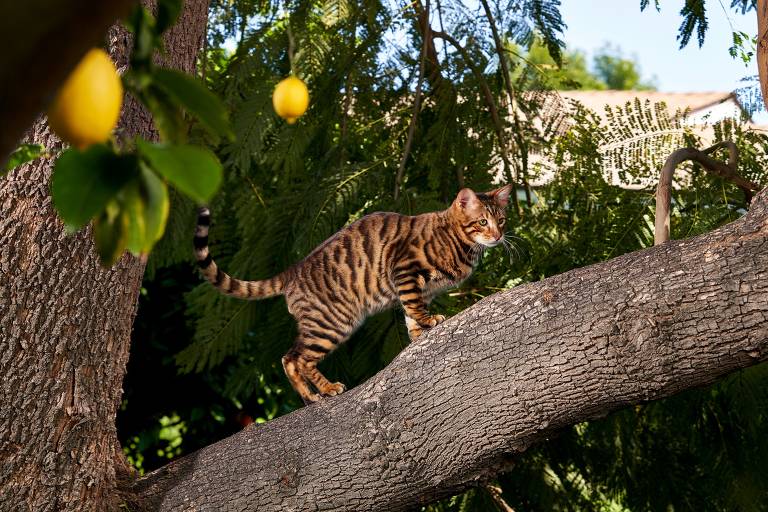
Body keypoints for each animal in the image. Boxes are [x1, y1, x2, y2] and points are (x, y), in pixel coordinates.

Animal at [195, 185, 512, 404]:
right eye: (482, 222)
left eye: (502, 220)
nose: (498, 236)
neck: (459, 240)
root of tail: (293, 270)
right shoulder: (404, 268)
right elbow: (413, 305)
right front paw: (428, 321)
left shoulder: (420, 287)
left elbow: (410, 313)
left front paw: (417, 334)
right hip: (333, 322)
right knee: (299, 358)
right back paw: (326, 389)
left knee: (289, 358)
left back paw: (310, 396)